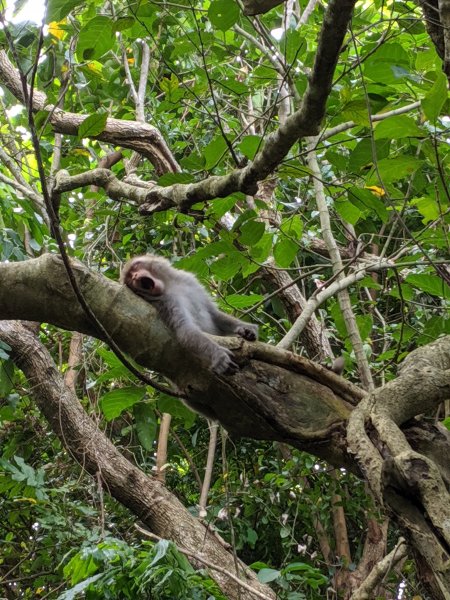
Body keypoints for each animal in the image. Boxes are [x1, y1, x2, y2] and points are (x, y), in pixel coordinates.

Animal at [121, 254, 258, 376]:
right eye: (130, 279)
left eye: (135, 268)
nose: (135, 277)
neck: (170, 285)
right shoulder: (167, 301)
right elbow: (185, 330)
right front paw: (218, 354)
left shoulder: (190, 282)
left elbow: (213, 313)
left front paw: (245, 328)